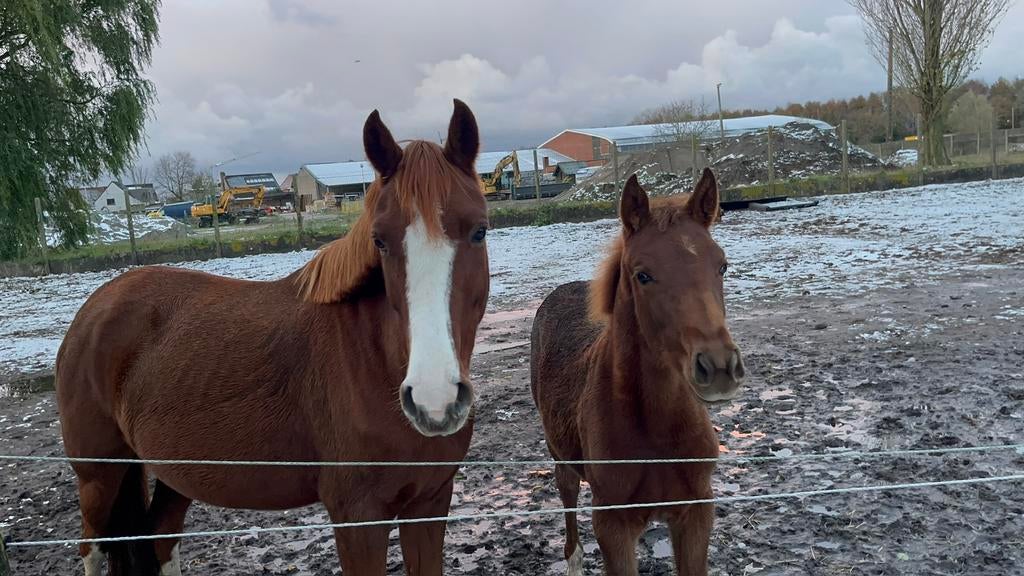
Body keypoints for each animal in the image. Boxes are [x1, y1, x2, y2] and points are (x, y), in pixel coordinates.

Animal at [55, 99, 490, 576]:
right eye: (380, 240)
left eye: (479, 230)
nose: (435, 401)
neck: (374, 363)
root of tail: (95, 307)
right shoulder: (357, 518)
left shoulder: (429, 504)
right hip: (99, 476)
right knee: (94, 547)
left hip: (174, 473)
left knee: (160, 537)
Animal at [530, 169, 745, 576]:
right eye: (643, 275)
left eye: (722, 265)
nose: (720, 367)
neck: (656, 430)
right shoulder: (612, 524)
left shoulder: (696, 513)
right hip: (560, 457)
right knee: (567, 498)